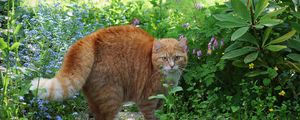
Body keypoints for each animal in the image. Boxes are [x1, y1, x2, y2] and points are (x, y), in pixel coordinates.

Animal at [29, 24, 186, 119]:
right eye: (164, 58)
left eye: (177, 58)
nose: (172, 66)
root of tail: (92, 37)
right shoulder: (147, 101)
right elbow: (151, 116)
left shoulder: (161, 100)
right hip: (112, 97)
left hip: (95, 99)